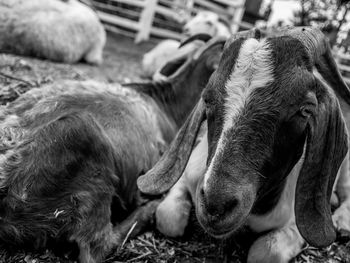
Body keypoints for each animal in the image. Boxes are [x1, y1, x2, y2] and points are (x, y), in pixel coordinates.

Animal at [137, 27, 350, 263]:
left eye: (305, 110)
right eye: (207, 97)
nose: (215, 206)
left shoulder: (295, 224)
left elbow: (265, 254)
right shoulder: (187, 174)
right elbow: (168, 218)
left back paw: (341, 220)